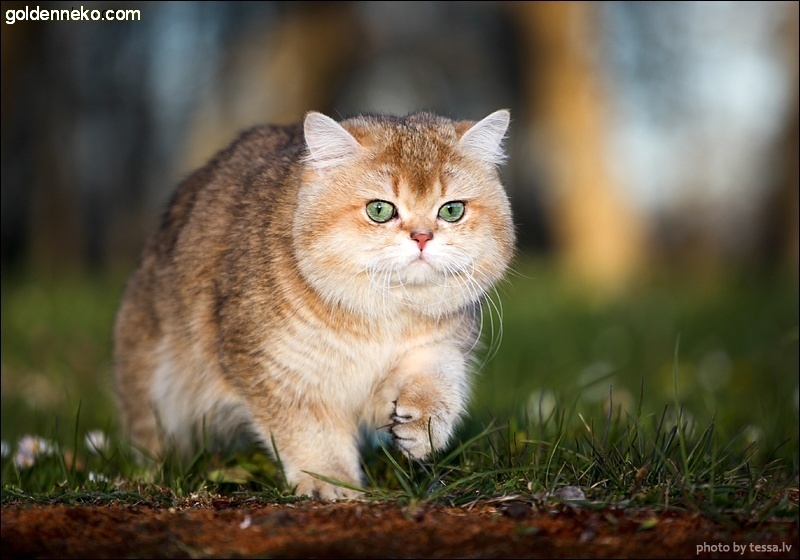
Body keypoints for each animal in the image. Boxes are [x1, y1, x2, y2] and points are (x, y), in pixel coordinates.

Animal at [115, 109, 516, 498]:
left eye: (451, 211)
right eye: (379, 210)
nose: (422, 237)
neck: (384, 314)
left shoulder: (438, 347)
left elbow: (440, 383)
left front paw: (422, 426)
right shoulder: (278, 370)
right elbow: (311, 432)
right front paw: (330, 480)